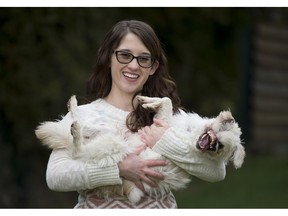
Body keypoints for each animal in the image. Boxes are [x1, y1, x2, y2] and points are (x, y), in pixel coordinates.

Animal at [35, 95, 244, 204]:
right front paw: (150, 101)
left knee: (78, 150)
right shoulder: (164, 121)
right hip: (109, 132)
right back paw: (73, 110)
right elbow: (166, 100)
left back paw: (75, 131)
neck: (191, 135)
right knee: (81, 127)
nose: (213, 146)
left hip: (111, 145)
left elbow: (167, 103)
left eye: (221, 148)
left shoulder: (166, 130)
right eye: (219, 138)